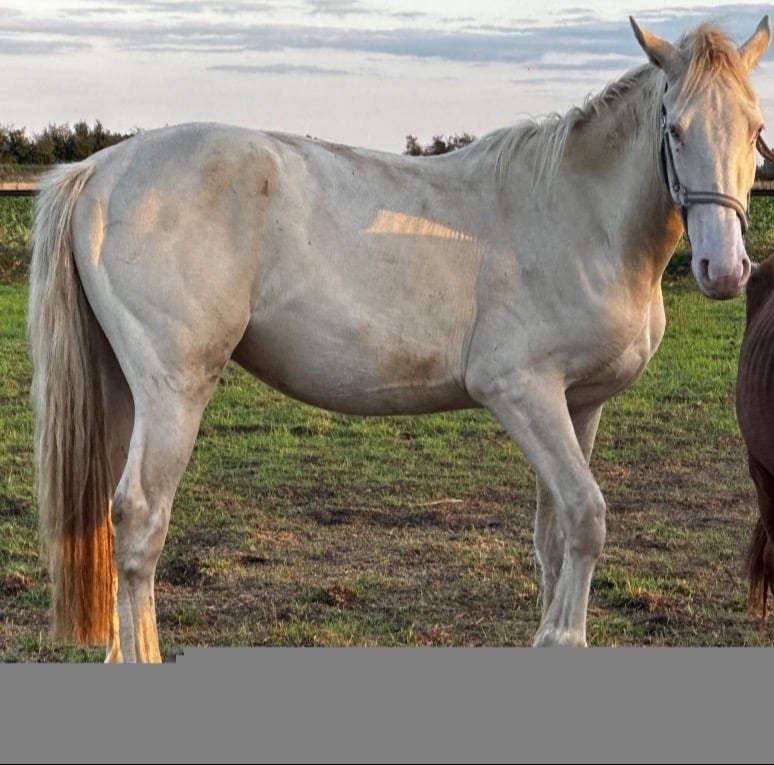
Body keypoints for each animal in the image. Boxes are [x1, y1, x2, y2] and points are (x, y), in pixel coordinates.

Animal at [27, 15, 772, 661]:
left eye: (756, 129)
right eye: (675, 128)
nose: (724, 268)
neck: (576, 214)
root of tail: (98, 171)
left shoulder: (578, 404)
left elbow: (556, 534)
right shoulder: (522, 394)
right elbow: (587, 516)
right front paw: (562, 638)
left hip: (124, 389)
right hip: (174, 389)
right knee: (139, 518)